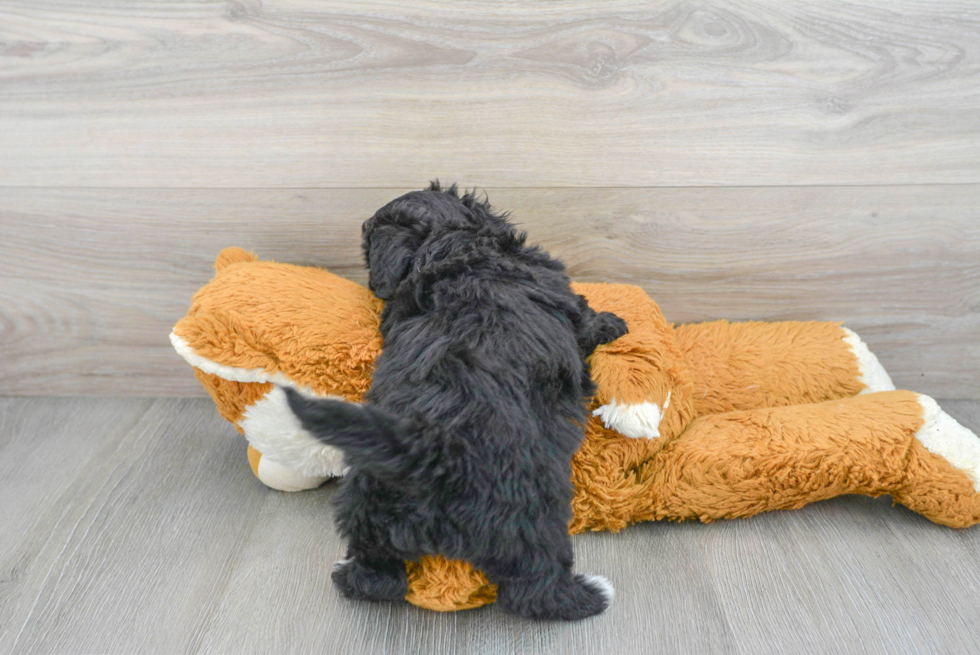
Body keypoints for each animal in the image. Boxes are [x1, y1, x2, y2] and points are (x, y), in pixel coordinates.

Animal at [284, 183, 624, 620]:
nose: (373, 284)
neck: (454, 250)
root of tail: (429, 454)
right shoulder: (567, 303)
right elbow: (588, 317)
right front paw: (614, 323)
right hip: (533, 511)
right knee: (535, 586)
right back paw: (589, 594)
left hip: (368, 506)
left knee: (375, 577)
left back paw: (353, 572)